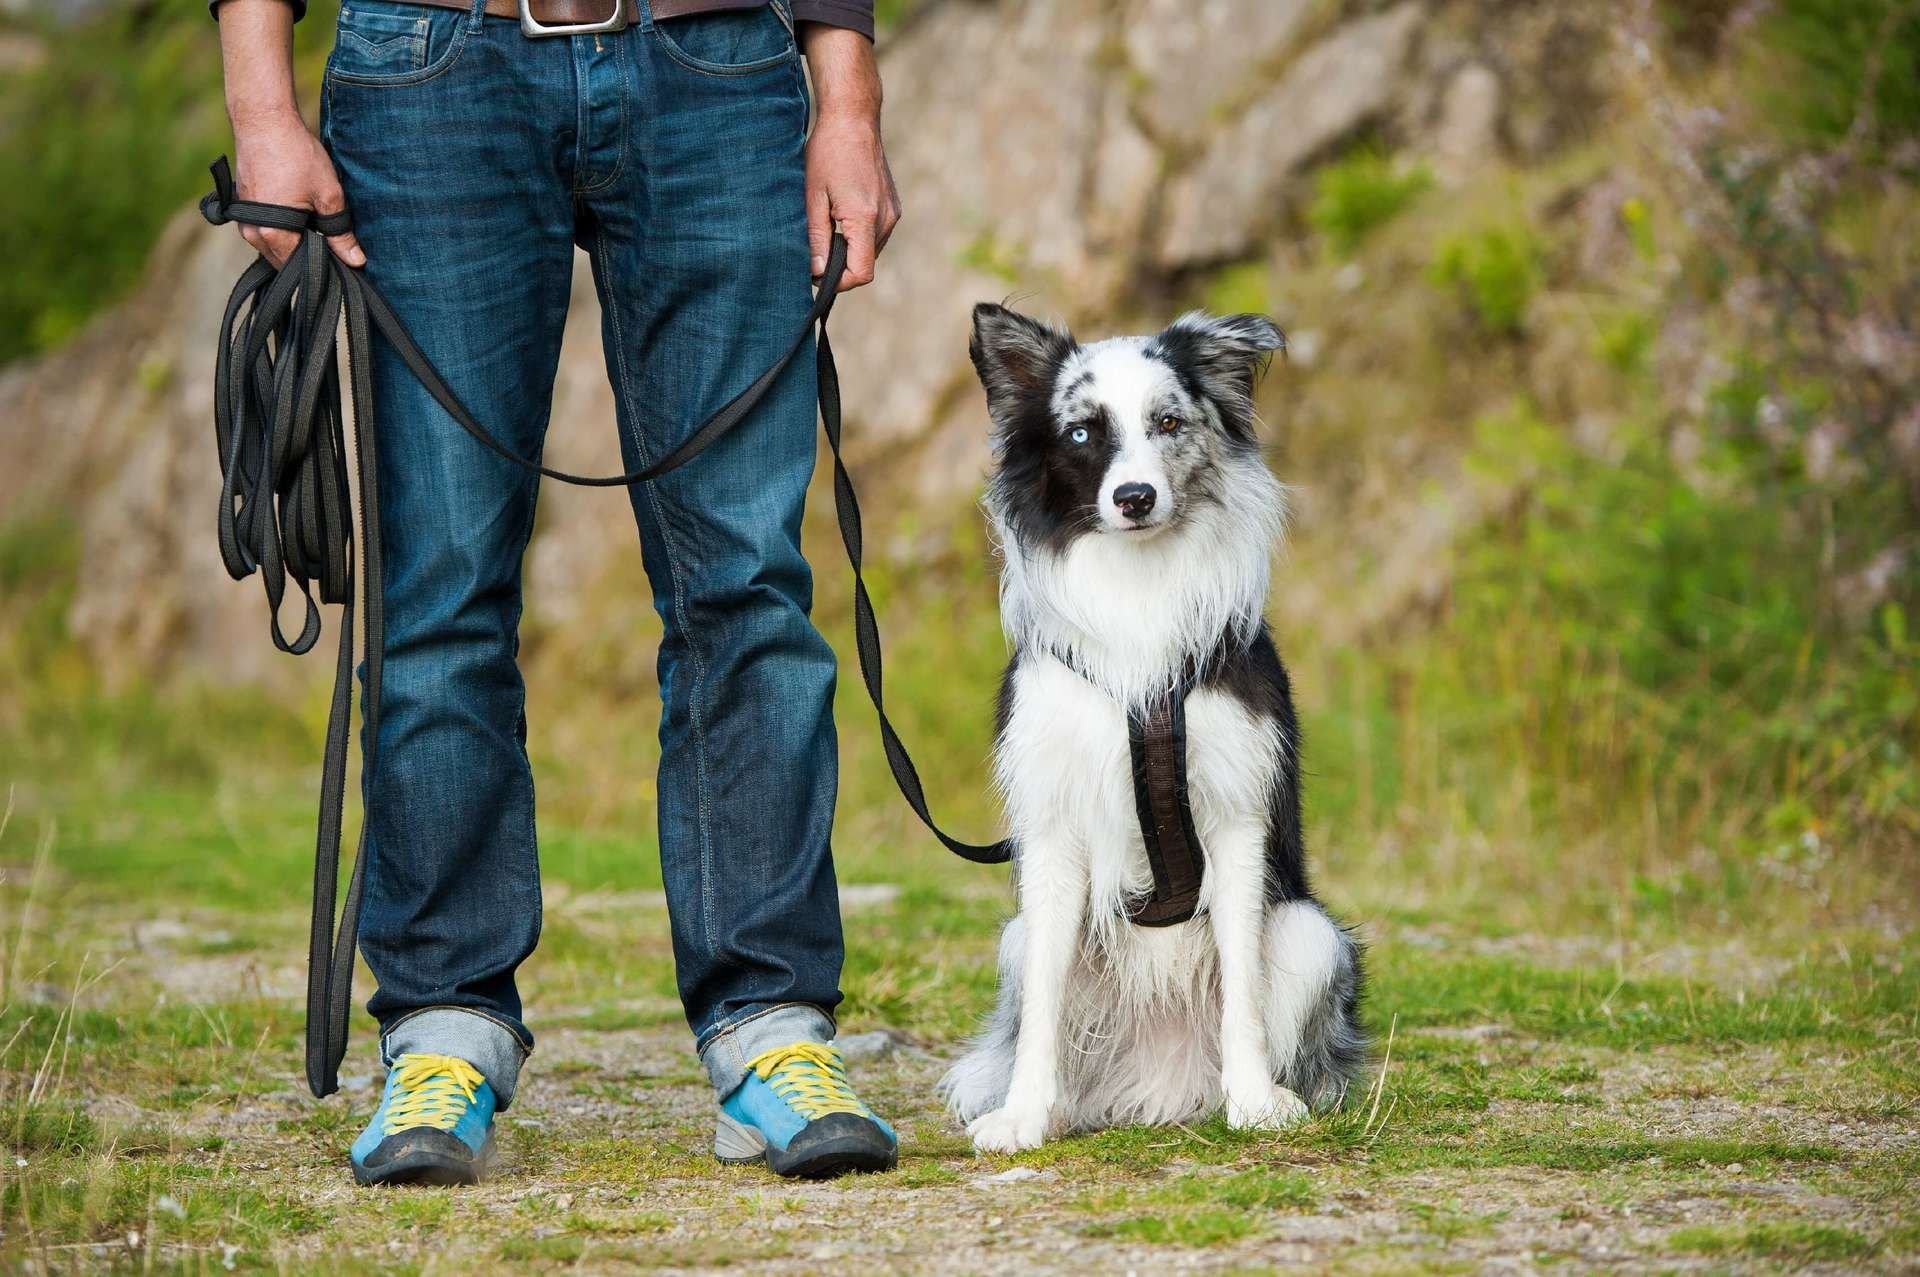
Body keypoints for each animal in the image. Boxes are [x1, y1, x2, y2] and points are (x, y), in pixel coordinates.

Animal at [940, 303, 1367, 1152]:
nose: (1134, 496)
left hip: (1312, 933)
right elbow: (1042, 1012)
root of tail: (1160, 1083)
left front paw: (1254, 1100)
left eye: (1168, 421)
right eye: (1081, 432)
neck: (1136, 590)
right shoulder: (1054, 827)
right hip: (1017, 938)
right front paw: (1024, 1115)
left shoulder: (1236, 817)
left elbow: (1243, 985)